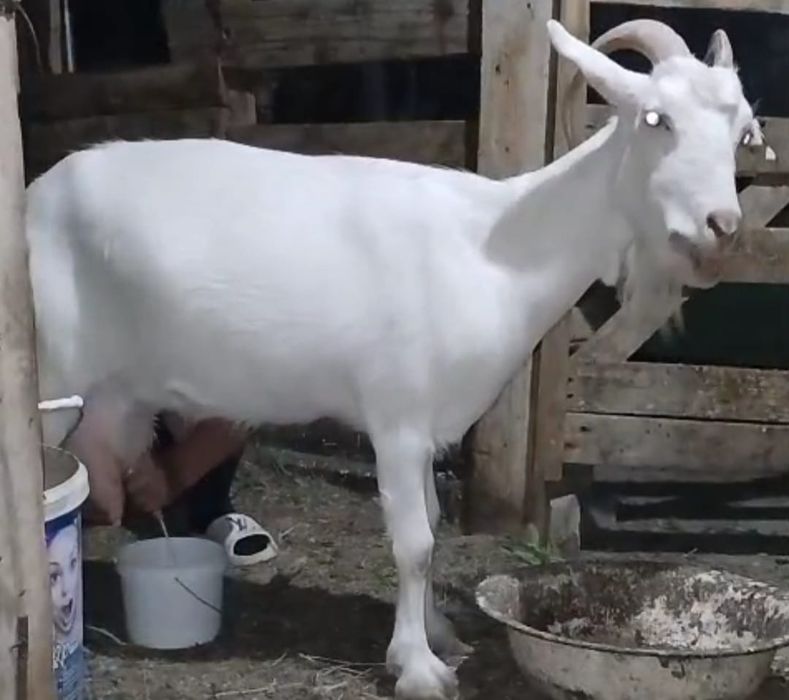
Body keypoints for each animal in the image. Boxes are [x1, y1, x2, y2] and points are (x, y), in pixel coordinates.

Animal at [26, 19, 757, 700]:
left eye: (744, 131)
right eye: (655, 119)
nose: (721, 229)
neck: (489, 248)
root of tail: (33, 199)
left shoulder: (428, 425)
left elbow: (430, 526)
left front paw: (439, 635)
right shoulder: (397, 417)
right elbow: (415, 545)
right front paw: (418, 667)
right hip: (52, 379)